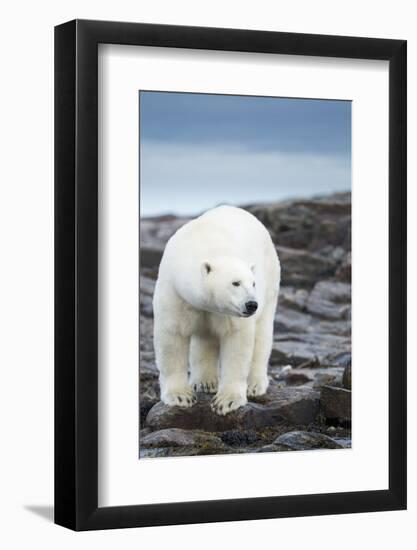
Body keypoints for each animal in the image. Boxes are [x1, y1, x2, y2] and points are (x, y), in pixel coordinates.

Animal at [152, 205, 280, 416]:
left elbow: (237, 341)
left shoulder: (231, 314)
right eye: (235, 283)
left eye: (252, 283)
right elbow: (173, 336)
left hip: (270, 284)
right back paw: (205, 382)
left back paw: (254, 384)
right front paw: (181, 396)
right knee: (205, 338)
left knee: (262, 334)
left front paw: (227, 401)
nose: (251, 304)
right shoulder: (175, 292)